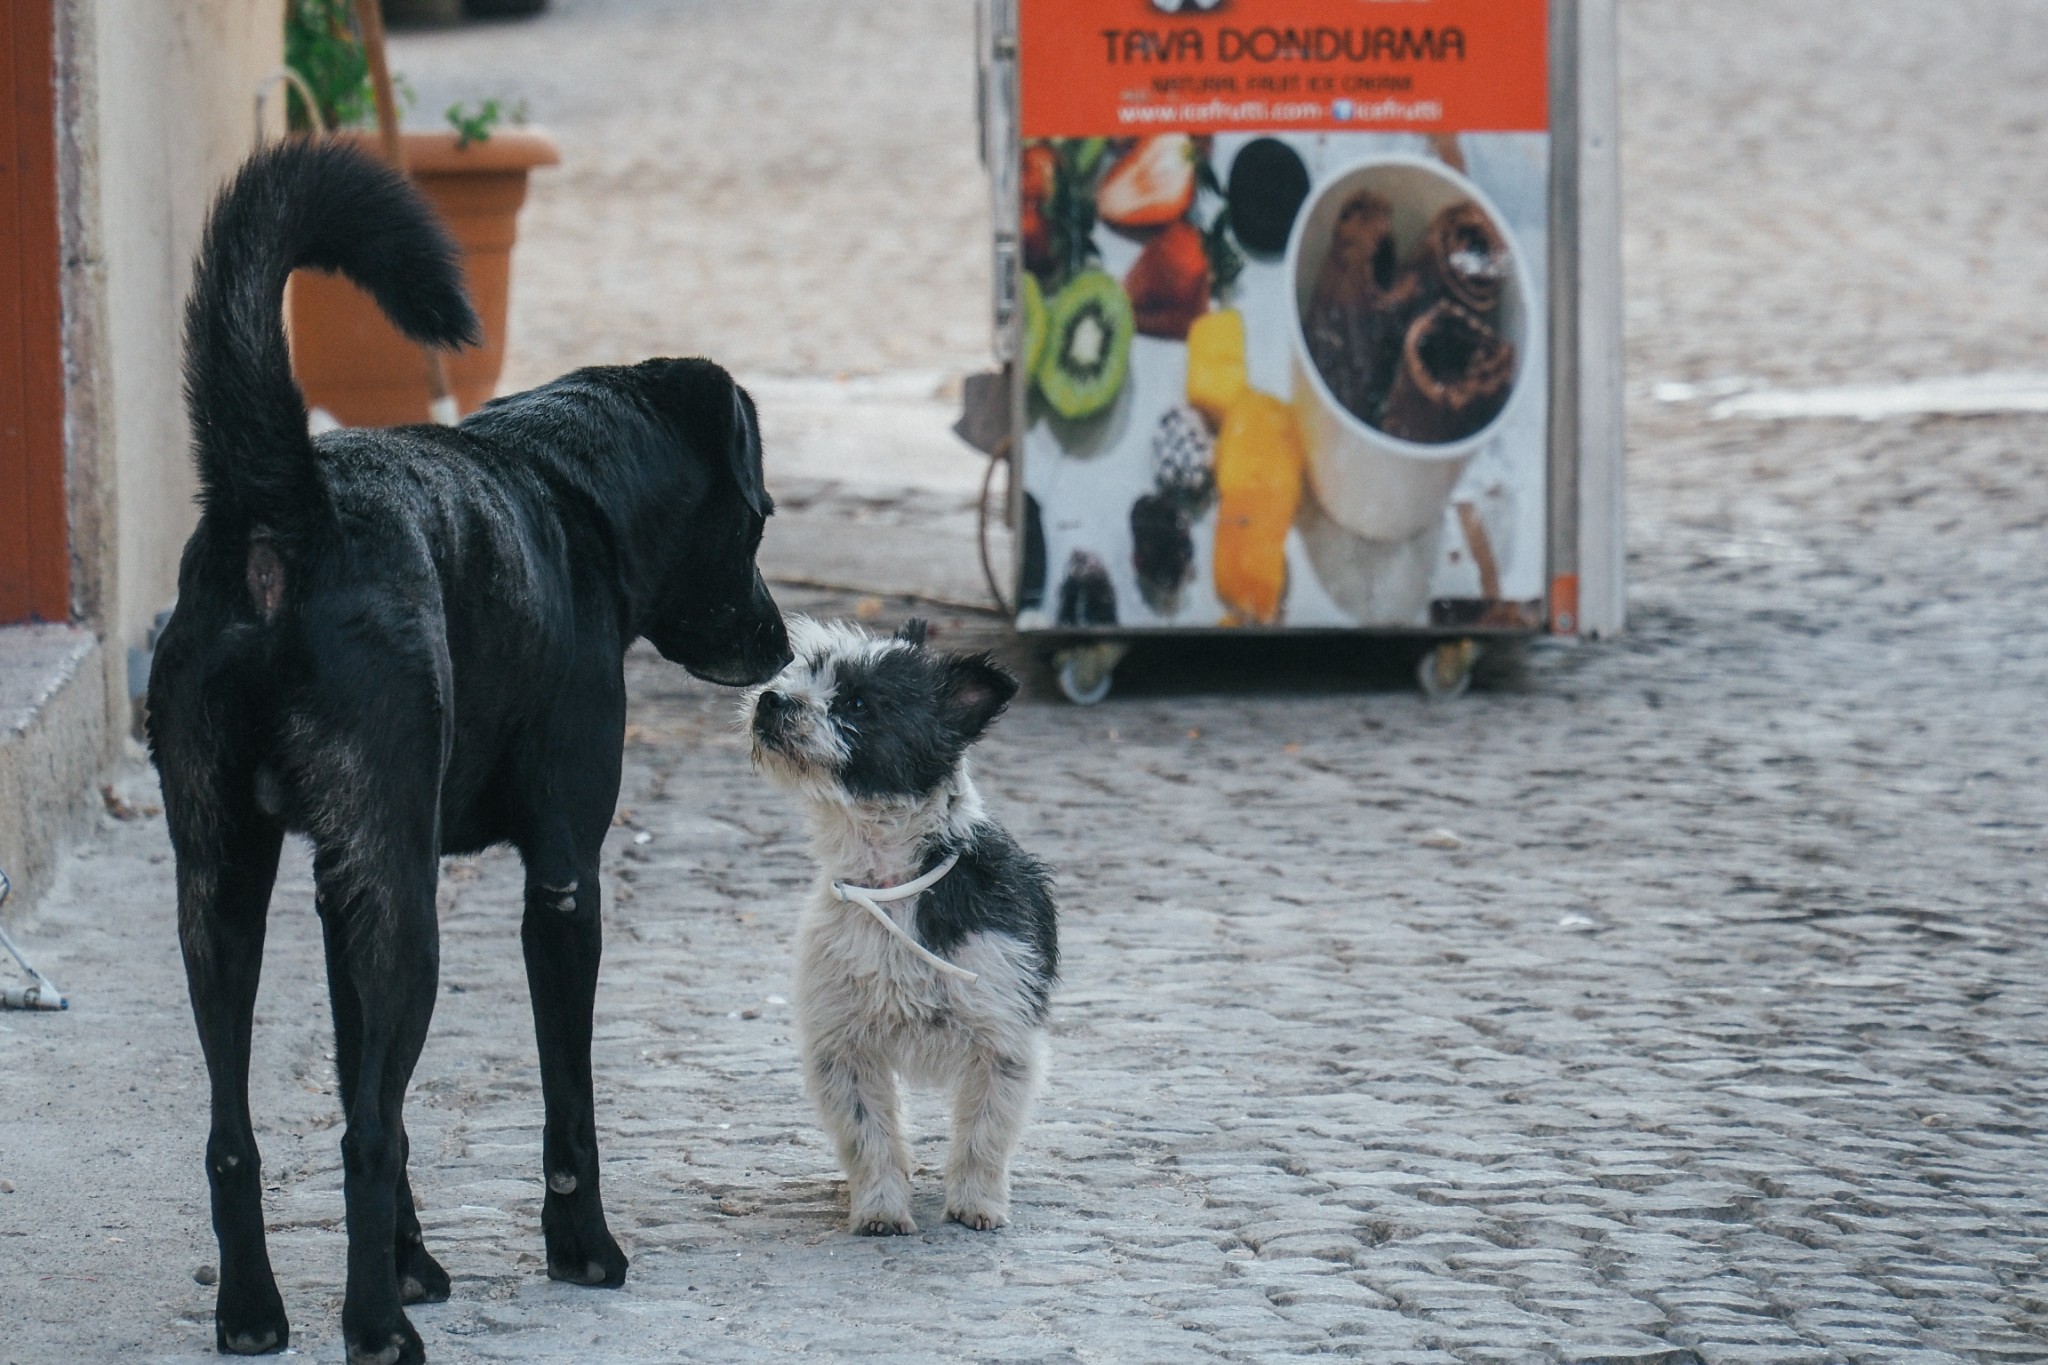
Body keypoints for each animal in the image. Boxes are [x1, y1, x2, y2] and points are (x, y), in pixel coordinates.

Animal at [149, 144, 790, 1358]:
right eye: (760, 516)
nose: (780, 648)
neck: (565, 484)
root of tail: (286, 510)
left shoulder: (337, 887)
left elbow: (368, 1088)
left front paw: (410, 1260)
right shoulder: (563, 879)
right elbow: (560, 1097)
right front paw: (580, 1248)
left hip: (223, 889)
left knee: (234, 1133)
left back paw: (255, 1310)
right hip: (408, 912)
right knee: (359, 1138)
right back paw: (372, 1329)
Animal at [745, 622, 1056, 1236]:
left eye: (859, 703)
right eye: (802, 672)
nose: (771, 700)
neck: (892, 880)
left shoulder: (1003, 1040)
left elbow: (984, 1135)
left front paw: (976, 1204)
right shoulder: (844, 1046)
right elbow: (869, 1137)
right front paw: (881, 1209)